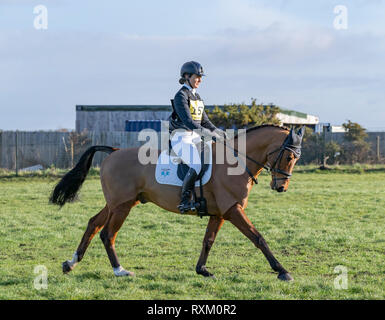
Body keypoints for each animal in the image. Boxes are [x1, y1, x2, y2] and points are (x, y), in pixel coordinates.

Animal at [50, 124, 304, 280]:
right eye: (290, 156)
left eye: (296, 158)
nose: (280, 187)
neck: (236, 162)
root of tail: (114, 151)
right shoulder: (233, 210)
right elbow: (258, 237)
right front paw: (282, 270)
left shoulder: (219, 213)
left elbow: (208, 240)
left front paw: (202, 270)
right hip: (121, 206)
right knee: (107, 233)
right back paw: (120, 270)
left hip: (119, 203)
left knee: (94, 224)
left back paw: (71, 263)